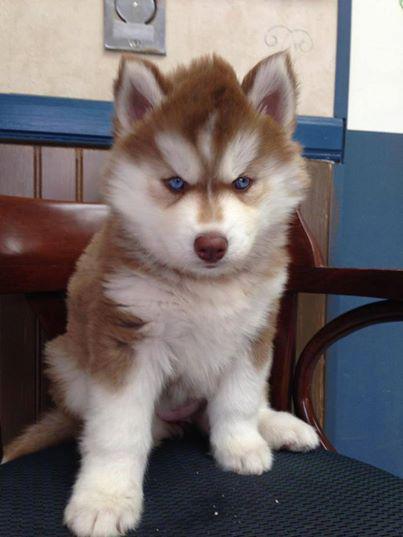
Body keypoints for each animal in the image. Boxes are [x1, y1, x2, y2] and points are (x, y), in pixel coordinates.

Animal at [3, 51, 318, 536]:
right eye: (175, 183)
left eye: (243, 183)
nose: (212, 244)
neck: (204, 287)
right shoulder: (126, 339)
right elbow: (117, 431)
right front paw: (106, 497)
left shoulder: (253, 334)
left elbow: (240, 399)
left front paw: (240, 445)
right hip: (63, 359)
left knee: (223, 408)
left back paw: (279, 426)